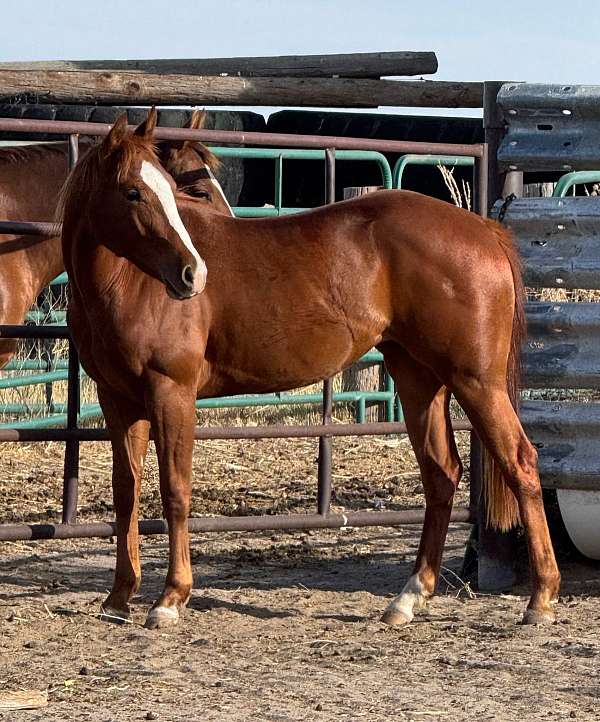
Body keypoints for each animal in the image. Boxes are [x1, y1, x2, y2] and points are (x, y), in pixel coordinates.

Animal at [59, 109, 561, 630]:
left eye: (169, 189)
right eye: (133, 192)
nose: (192, 275)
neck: (127, 283)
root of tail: (484, 230)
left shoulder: (170, 393)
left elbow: (175, 490)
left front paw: (170, 599)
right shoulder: (119, 400)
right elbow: (126, 492)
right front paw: (119, 596)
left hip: (477, 382)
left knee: (521, 462)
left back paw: (541, 597)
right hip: (420, 379)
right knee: (441, 475)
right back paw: (409, 597)